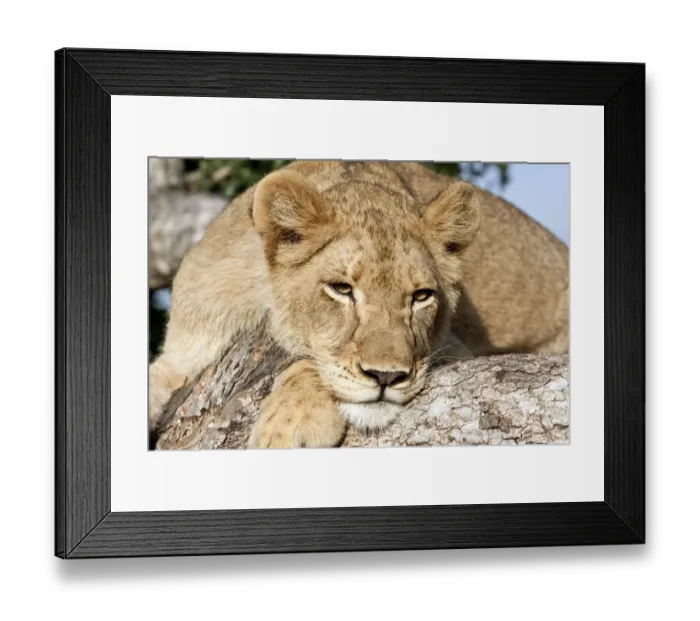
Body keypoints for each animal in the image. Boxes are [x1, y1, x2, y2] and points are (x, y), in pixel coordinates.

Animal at [149, 161, 569, 448]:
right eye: (342, 289)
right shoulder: (183, 352)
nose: (386, 377)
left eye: (421, 296)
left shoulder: (455, 350)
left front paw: (289, 426)